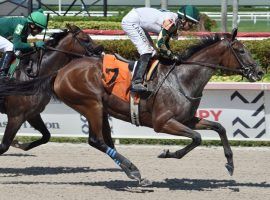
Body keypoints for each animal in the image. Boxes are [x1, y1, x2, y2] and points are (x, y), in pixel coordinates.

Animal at [0, 28, 264, 184]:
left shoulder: (187, 119)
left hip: (99, 110)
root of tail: (59, 72)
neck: (183, 78)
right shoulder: (163, 123)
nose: (259, 72)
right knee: (96, 140)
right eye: (241, 50)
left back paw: (131, 171)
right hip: (90, 104)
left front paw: (230, 164)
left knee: (104, 141)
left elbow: (219, 127)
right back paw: (134, 170)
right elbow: (197, 138)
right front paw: (168, 153)